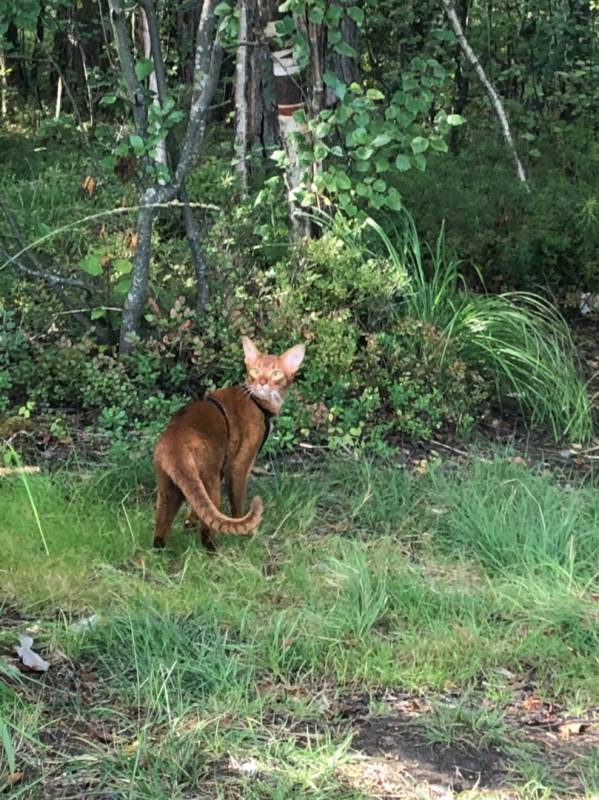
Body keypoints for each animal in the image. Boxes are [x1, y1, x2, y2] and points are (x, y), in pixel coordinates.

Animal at [152, 336, 308, 552]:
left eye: (276, 373)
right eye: (256, 370)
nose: (262, 383)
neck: (257, 402)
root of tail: (175, 439)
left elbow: (196, 508)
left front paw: (189, 522)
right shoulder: (239, 464)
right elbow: (237, 504)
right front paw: (247, 534)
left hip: (169, 488)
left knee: (160, 531)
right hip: (210, 480)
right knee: (207, 532)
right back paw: (215, 551)